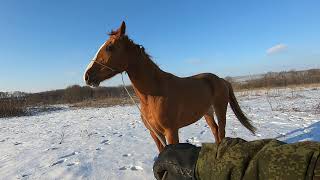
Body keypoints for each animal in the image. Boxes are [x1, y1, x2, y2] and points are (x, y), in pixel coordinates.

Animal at [84, 21, 256, 152]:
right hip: (207, 112)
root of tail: (221, 80)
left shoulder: (171, 131)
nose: (87, 76)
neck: (152, 95)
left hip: (220, 109)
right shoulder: (155, 134)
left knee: (221, 131)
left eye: (109, 47)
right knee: (215, 131)